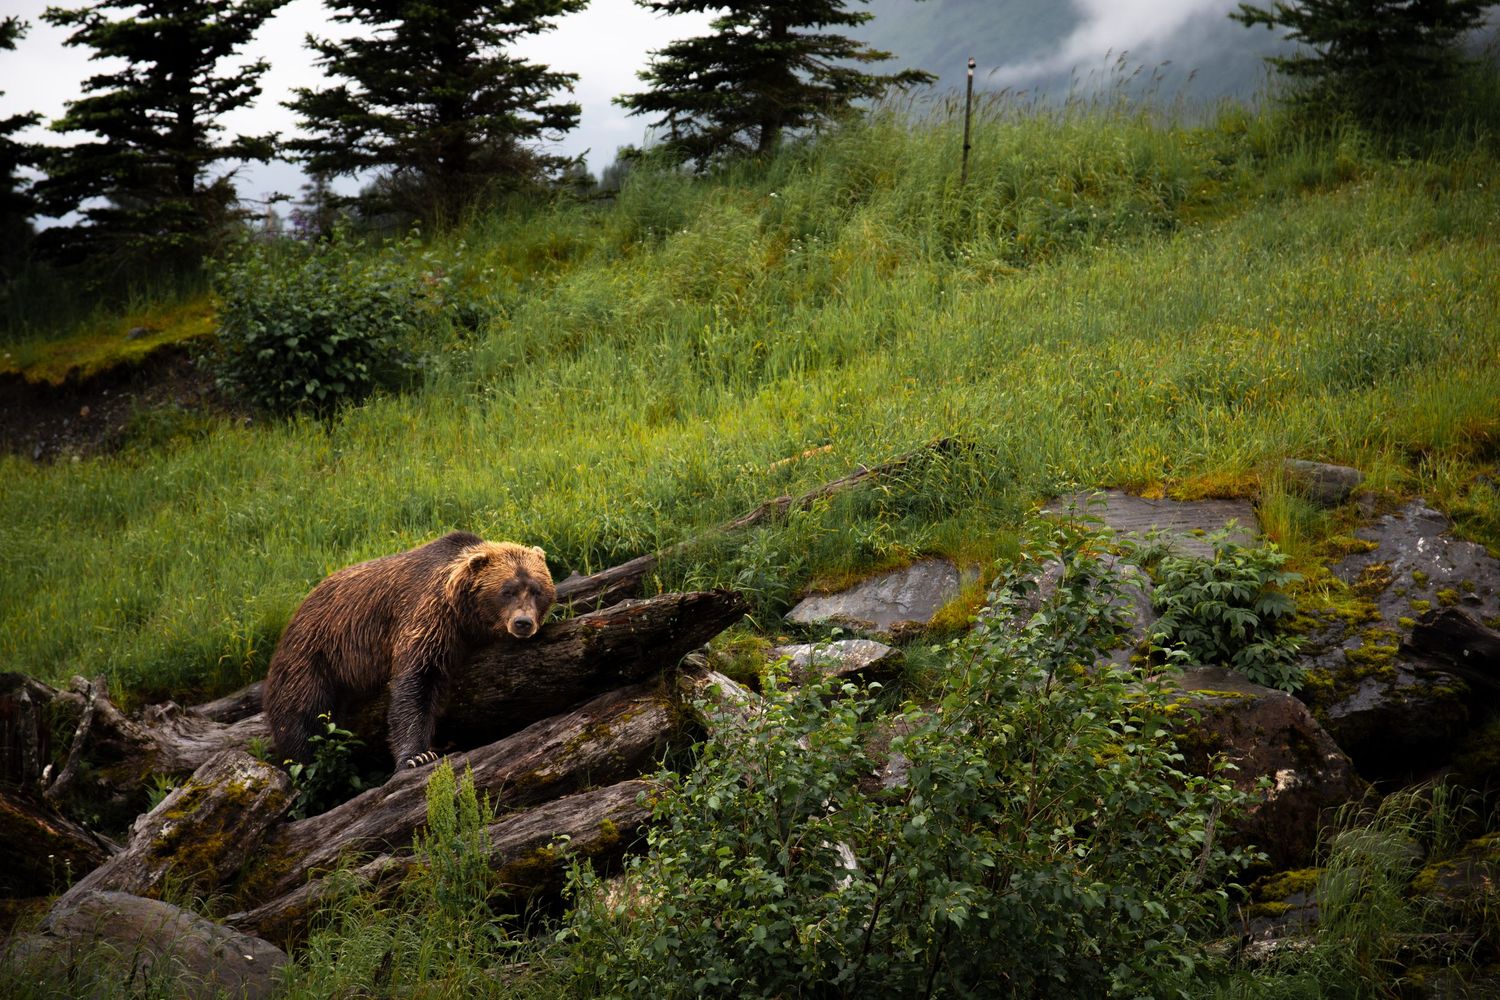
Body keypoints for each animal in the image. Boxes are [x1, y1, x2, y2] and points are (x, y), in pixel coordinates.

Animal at [263, 531, 555, 772]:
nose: (523, 623)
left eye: (537, 590)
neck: (467, 615)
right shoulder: (430, 615)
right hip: (314, 654)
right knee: (303, 714)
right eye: (507, 590)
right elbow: (417, 680)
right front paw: (417, 756)